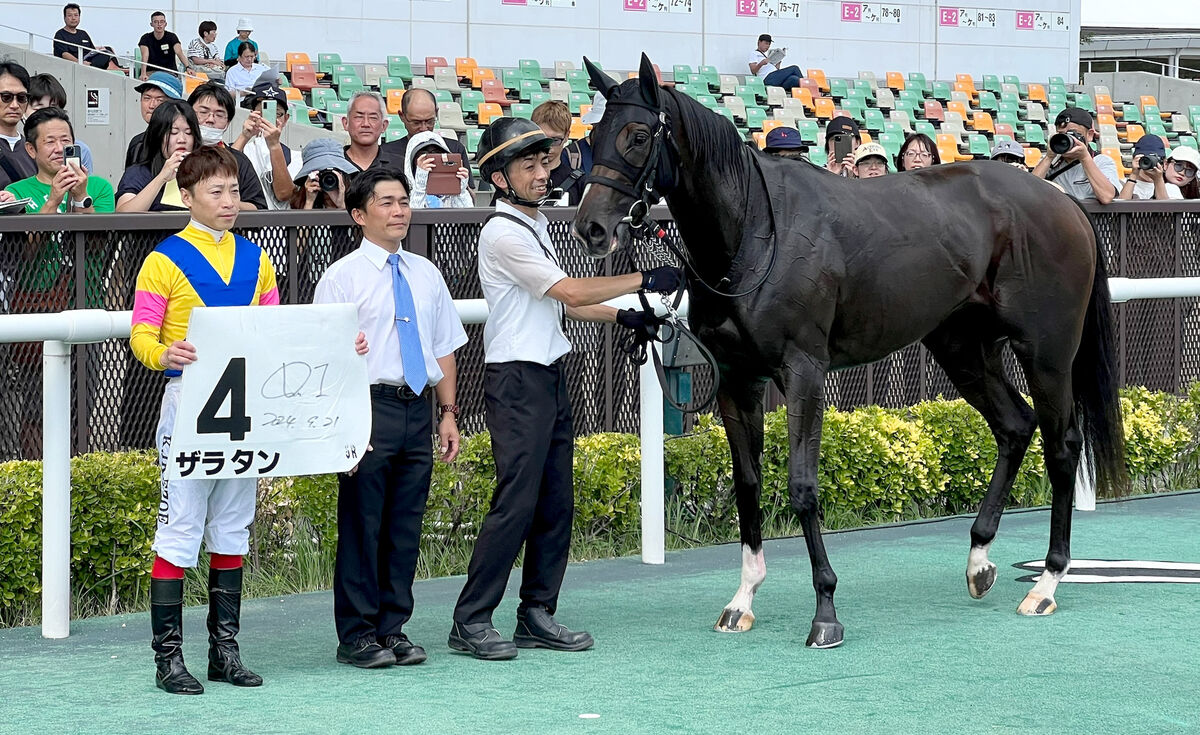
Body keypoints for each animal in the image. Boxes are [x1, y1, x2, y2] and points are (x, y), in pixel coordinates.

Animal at [573, 54, 1123, 643]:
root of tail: (1064, 203)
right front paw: (743, 599)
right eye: (592, 136)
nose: (591, 228)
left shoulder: (803, 372)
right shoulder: (737, 379)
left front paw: (825, 611)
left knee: (1062, 446)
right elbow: (747, 485)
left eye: (635, 135)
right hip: (962, 348)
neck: (756, 231)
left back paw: (1047, 582)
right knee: (1015, 426)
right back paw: (979, 561)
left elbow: (801, 486)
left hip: (1046, 351)